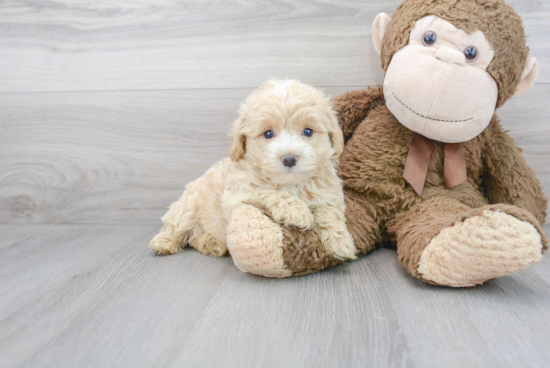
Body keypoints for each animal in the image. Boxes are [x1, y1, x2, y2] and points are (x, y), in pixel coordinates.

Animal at [151, 79, 358, 260]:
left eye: (308, 131)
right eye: (268, 133)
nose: (289, 158)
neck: (290, 184)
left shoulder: (328, 195)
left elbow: (328, 212)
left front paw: (340, 242)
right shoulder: (236, 196)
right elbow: (267, 192)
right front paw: (296, 211)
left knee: (194, 238)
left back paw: (211, 243)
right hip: (188, 208)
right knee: (174, 227)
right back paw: (164, 243)